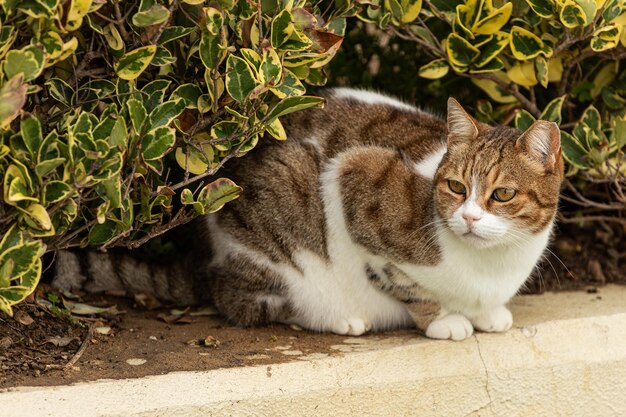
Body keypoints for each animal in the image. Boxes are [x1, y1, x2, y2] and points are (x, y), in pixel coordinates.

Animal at [52, 88, 560, 338]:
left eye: (502, 195)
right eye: (455, 187)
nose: (469, 218)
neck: (489, 266)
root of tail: (202, 261)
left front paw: (487, 314)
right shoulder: (356, 179)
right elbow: (407, 285)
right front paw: (444, 320)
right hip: (281, 210)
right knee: (248, 302)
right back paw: (338, 319)